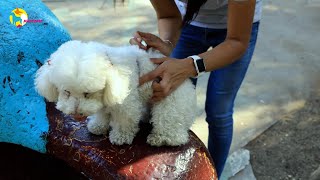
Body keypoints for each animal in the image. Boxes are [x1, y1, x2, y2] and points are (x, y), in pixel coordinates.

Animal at [34, 40, 195, 146]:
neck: (113, 69)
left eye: (87, 93)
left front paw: (120, 137)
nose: (76, 114)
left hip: (171, 103)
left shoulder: (126, 103)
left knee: (171, 125)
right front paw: (98, 126)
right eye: (66, 92)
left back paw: (162, 138)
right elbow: (101, 114)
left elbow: (124, 120)